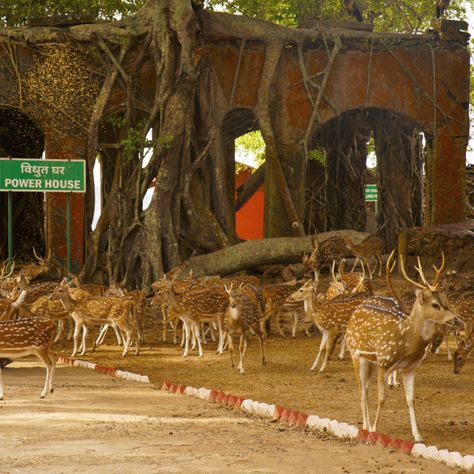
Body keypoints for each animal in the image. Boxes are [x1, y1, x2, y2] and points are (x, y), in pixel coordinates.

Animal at [344, 252, 456, 440]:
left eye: (445, 300)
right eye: (435, 304)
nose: (455, 319)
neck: (407, 343)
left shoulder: (410, 368)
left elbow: (410, 399)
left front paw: (418, 436)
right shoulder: (384, 361)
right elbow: (381, 398)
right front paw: (375, 429)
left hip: (371, 362)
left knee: (365, 387)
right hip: (355, 353)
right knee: (362, 390)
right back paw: (366, 426)